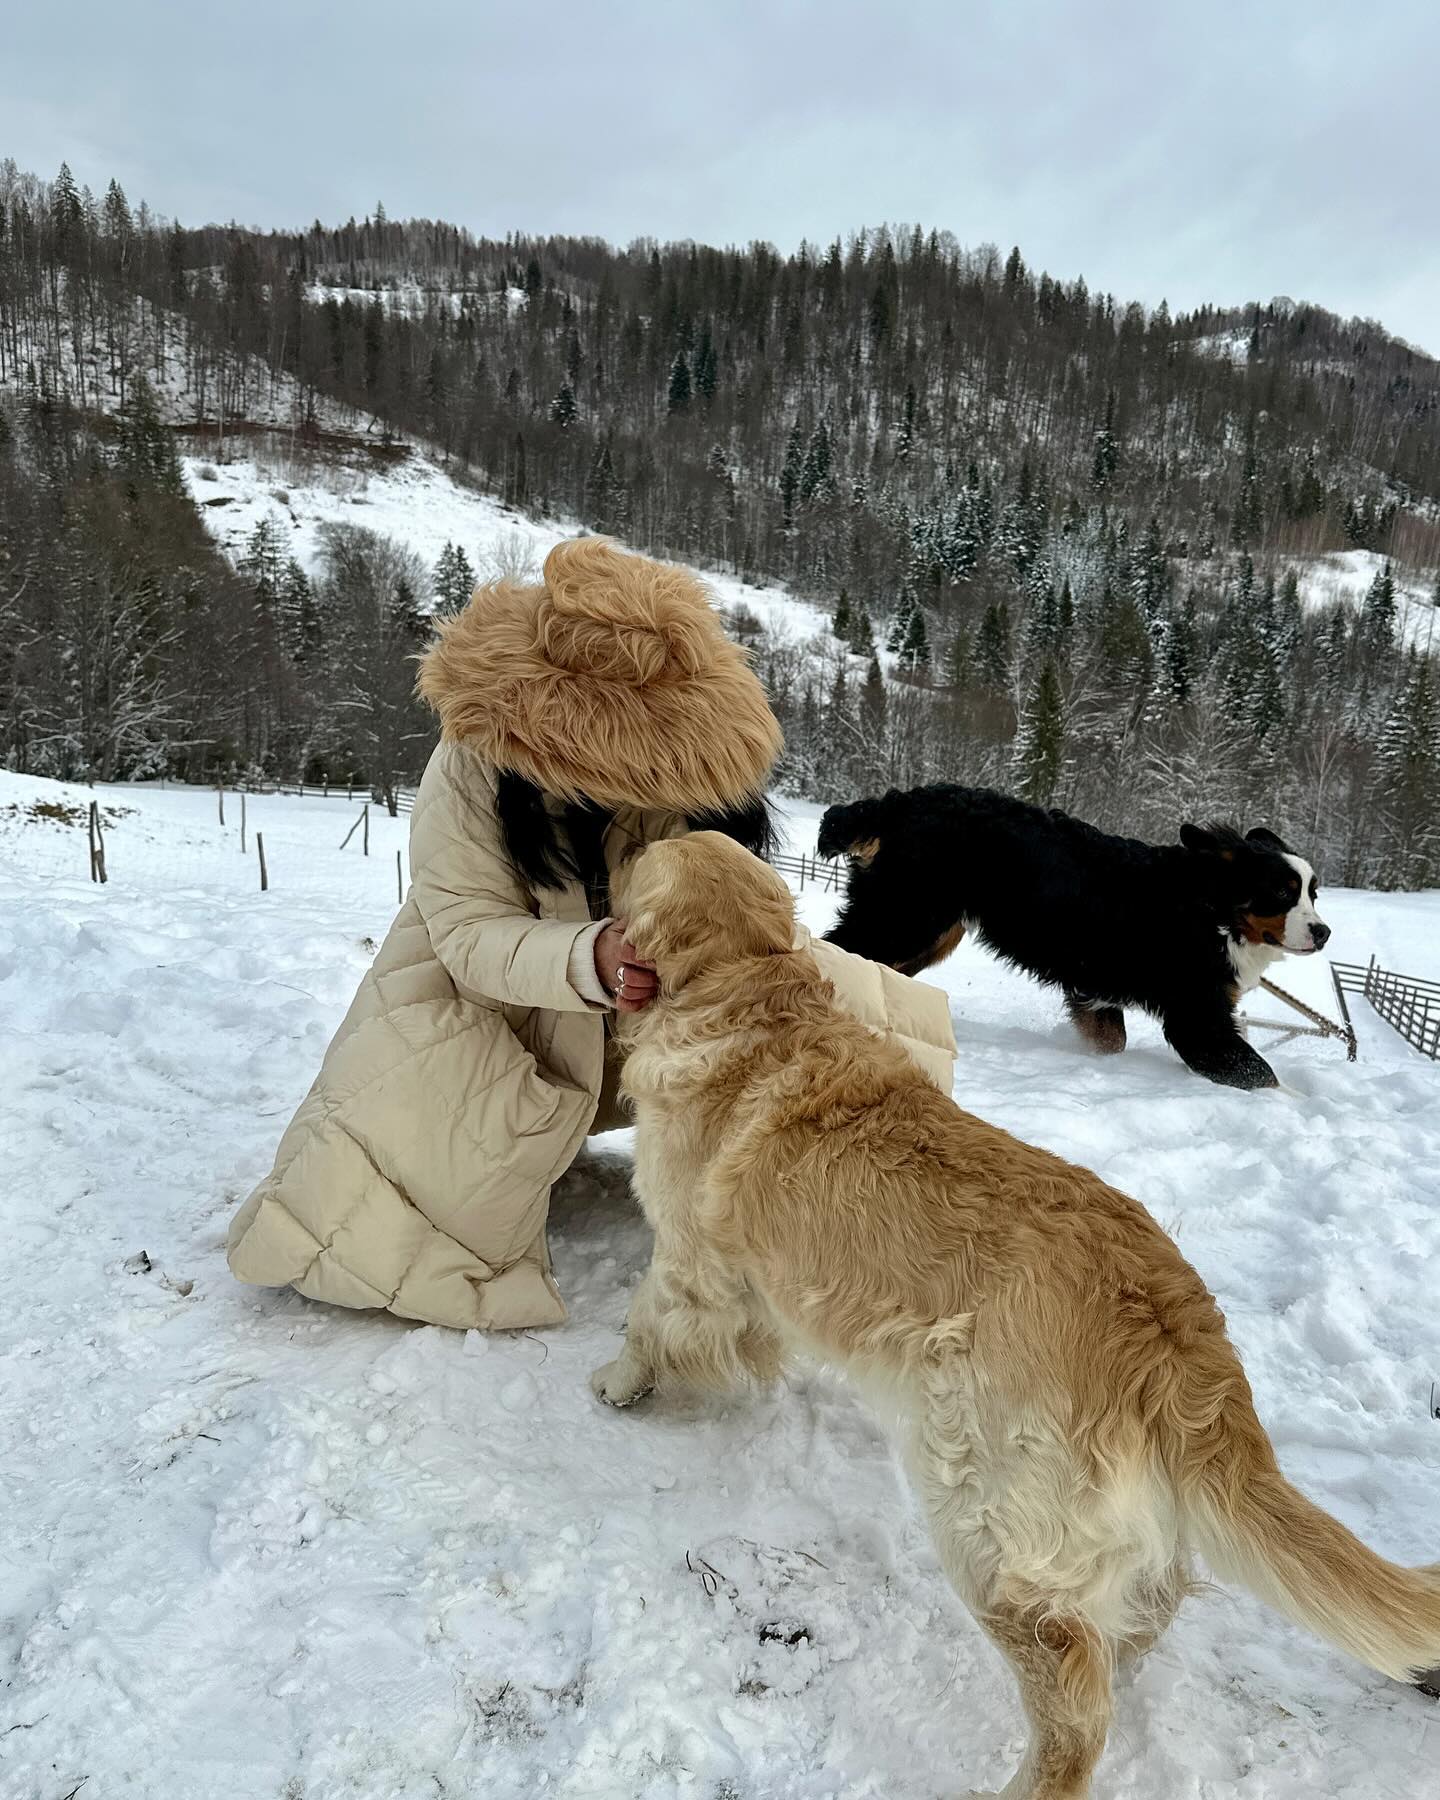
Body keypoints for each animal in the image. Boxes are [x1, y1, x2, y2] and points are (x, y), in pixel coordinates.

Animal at [817, 784, 1332, 1087]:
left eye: (1314, 892)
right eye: (1282, 892)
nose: (1323, 932)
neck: (1208, 910)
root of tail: (897, 802)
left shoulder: (1097, 991)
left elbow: (1110, 1040)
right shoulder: (1198, 1017)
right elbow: (1262, 1075)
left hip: (930, 930)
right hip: (905, 917)